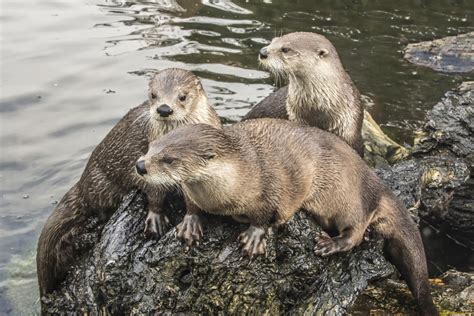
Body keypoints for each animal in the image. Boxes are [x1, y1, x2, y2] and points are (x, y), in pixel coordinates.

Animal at [37, 68, 222, 298]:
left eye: (182, 96)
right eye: (153, 95)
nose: (164, 108)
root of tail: (82, 182)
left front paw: (190, 222)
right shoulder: (146, 162)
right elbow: (154, 191)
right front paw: (155, 218)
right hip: (101, 184)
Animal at [139, 119, 438, 316]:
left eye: (169, 159)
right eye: (152, 146)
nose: (141, 165)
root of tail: (376, 183)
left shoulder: (273, 188)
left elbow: (265, 214)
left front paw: (254, 237)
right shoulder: (194, 193)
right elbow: (192, 206)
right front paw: (190, 224)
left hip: (351, 198)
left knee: (355, 232)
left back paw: (331, 244)